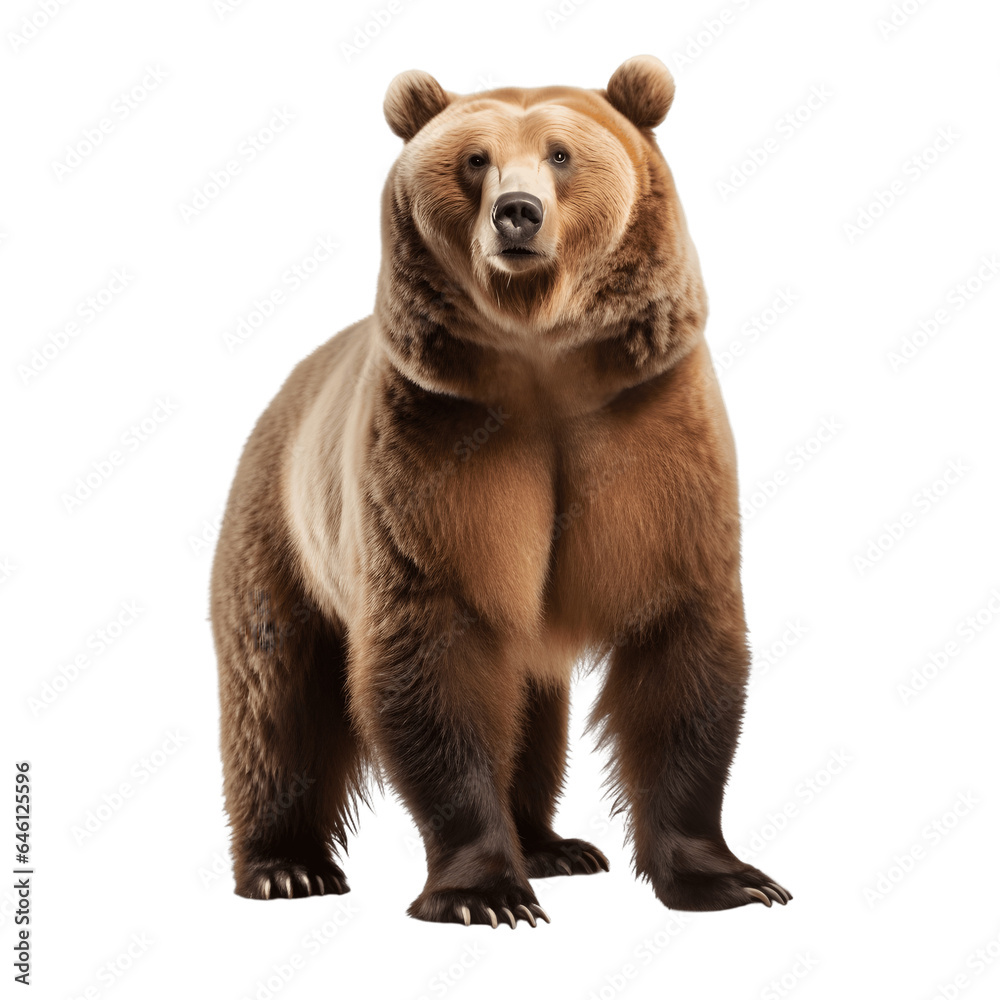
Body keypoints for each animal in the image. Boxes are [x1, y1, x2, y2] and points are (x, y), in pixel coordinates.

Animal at [210, 54, 791, 927]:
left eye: (561, 153)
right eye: (474, 159)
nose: (517, 214)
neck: (540, 355)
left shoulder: (650, 431)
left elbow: (679, 642)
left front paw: (730, 878)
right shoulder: (436, 451)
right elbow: (437, 654)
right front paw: (483, 893)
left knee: (530, 708)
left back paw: (552, 845)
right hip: (282, 533)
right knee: (276, 693)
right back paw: (287, 866)